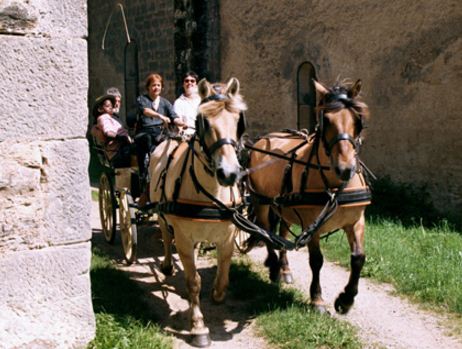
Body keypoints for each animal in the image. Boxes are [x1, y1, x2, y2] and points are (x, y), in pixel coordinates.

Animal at [150, 77, 247, 346]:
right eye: (204, 122)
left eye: (238, 121)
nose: (229, 174)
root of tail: (170, 138)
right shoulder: (183, 236)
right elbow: (193, 282)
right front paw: (198, 327)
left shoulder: (227, 236)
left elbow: (223, 276)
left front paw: (216, 294)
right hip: (162, 214)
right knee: (166, 233)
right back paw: (167, 264)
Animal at [245, 79, 372, 312]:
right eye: (326, 120)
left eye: (358, 120)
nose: (345, 169)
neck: (334, 188)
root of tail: (264, 139)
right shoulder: (312, 225)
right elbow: (316, 260)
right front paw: (317, 298)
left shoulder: (356, 220)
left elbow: (358, 258)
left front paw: (346, 299)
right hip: (261, 201)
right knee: (266, 232)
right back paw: (274, 267)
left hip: (284, 206)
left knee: (282, 233)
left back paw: (285, 269)